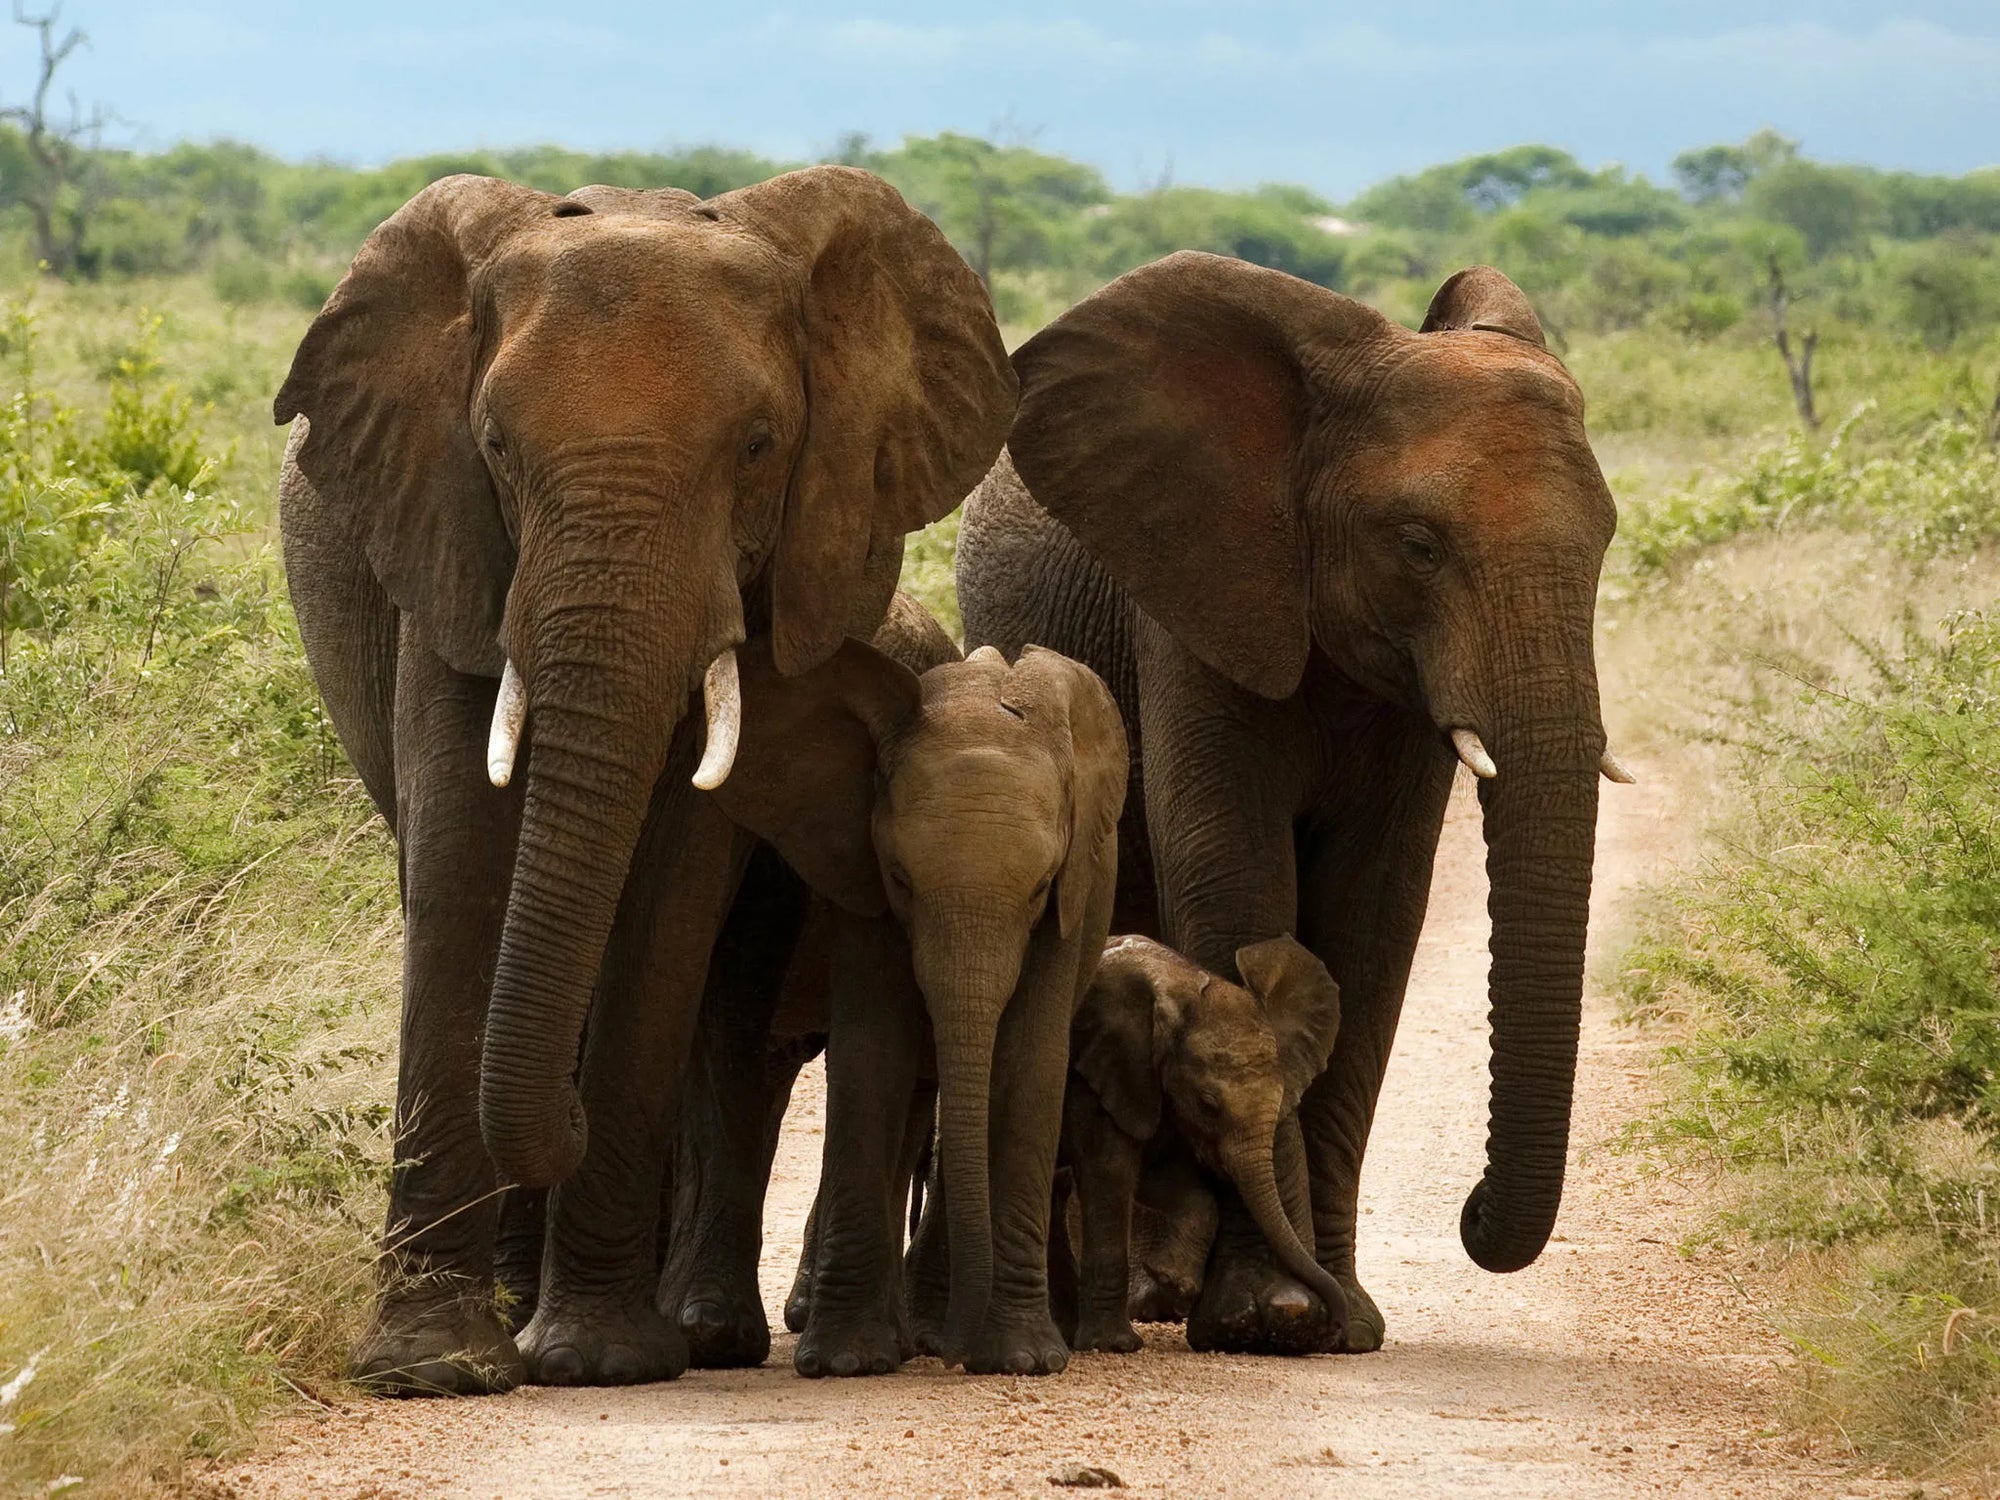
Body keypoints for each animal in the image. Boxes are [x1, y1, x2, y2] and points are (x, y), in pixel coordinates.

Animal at [275, 166, 1014, 1392]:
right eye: (495, 445)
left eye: (760, 446)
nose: (562, 1125)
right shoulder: (450, 543)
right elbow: (464, 855)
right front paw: (431, 1371)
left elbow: (672, 884)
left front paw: (598, 1360)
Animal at [708, 638, 1127, 1375]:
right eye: (901, 879)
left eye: (1041, 887)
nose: (956, 1355)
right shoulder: (861, 879)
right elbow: (873, 1055)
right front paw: (844, 1363)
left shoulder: (1073, 900)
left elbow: (1027, 1063)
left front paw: (1021, 1361)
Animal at [1054, 934, 1344, 1355]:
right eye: (1208, 1104)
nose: (1334, 1327)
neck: (1185, 984)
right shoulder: (1105, 1071)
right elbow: (1110, 1169)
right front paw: (1115, 1345)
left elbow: (1159, 1174)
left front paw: (1172, 1278)